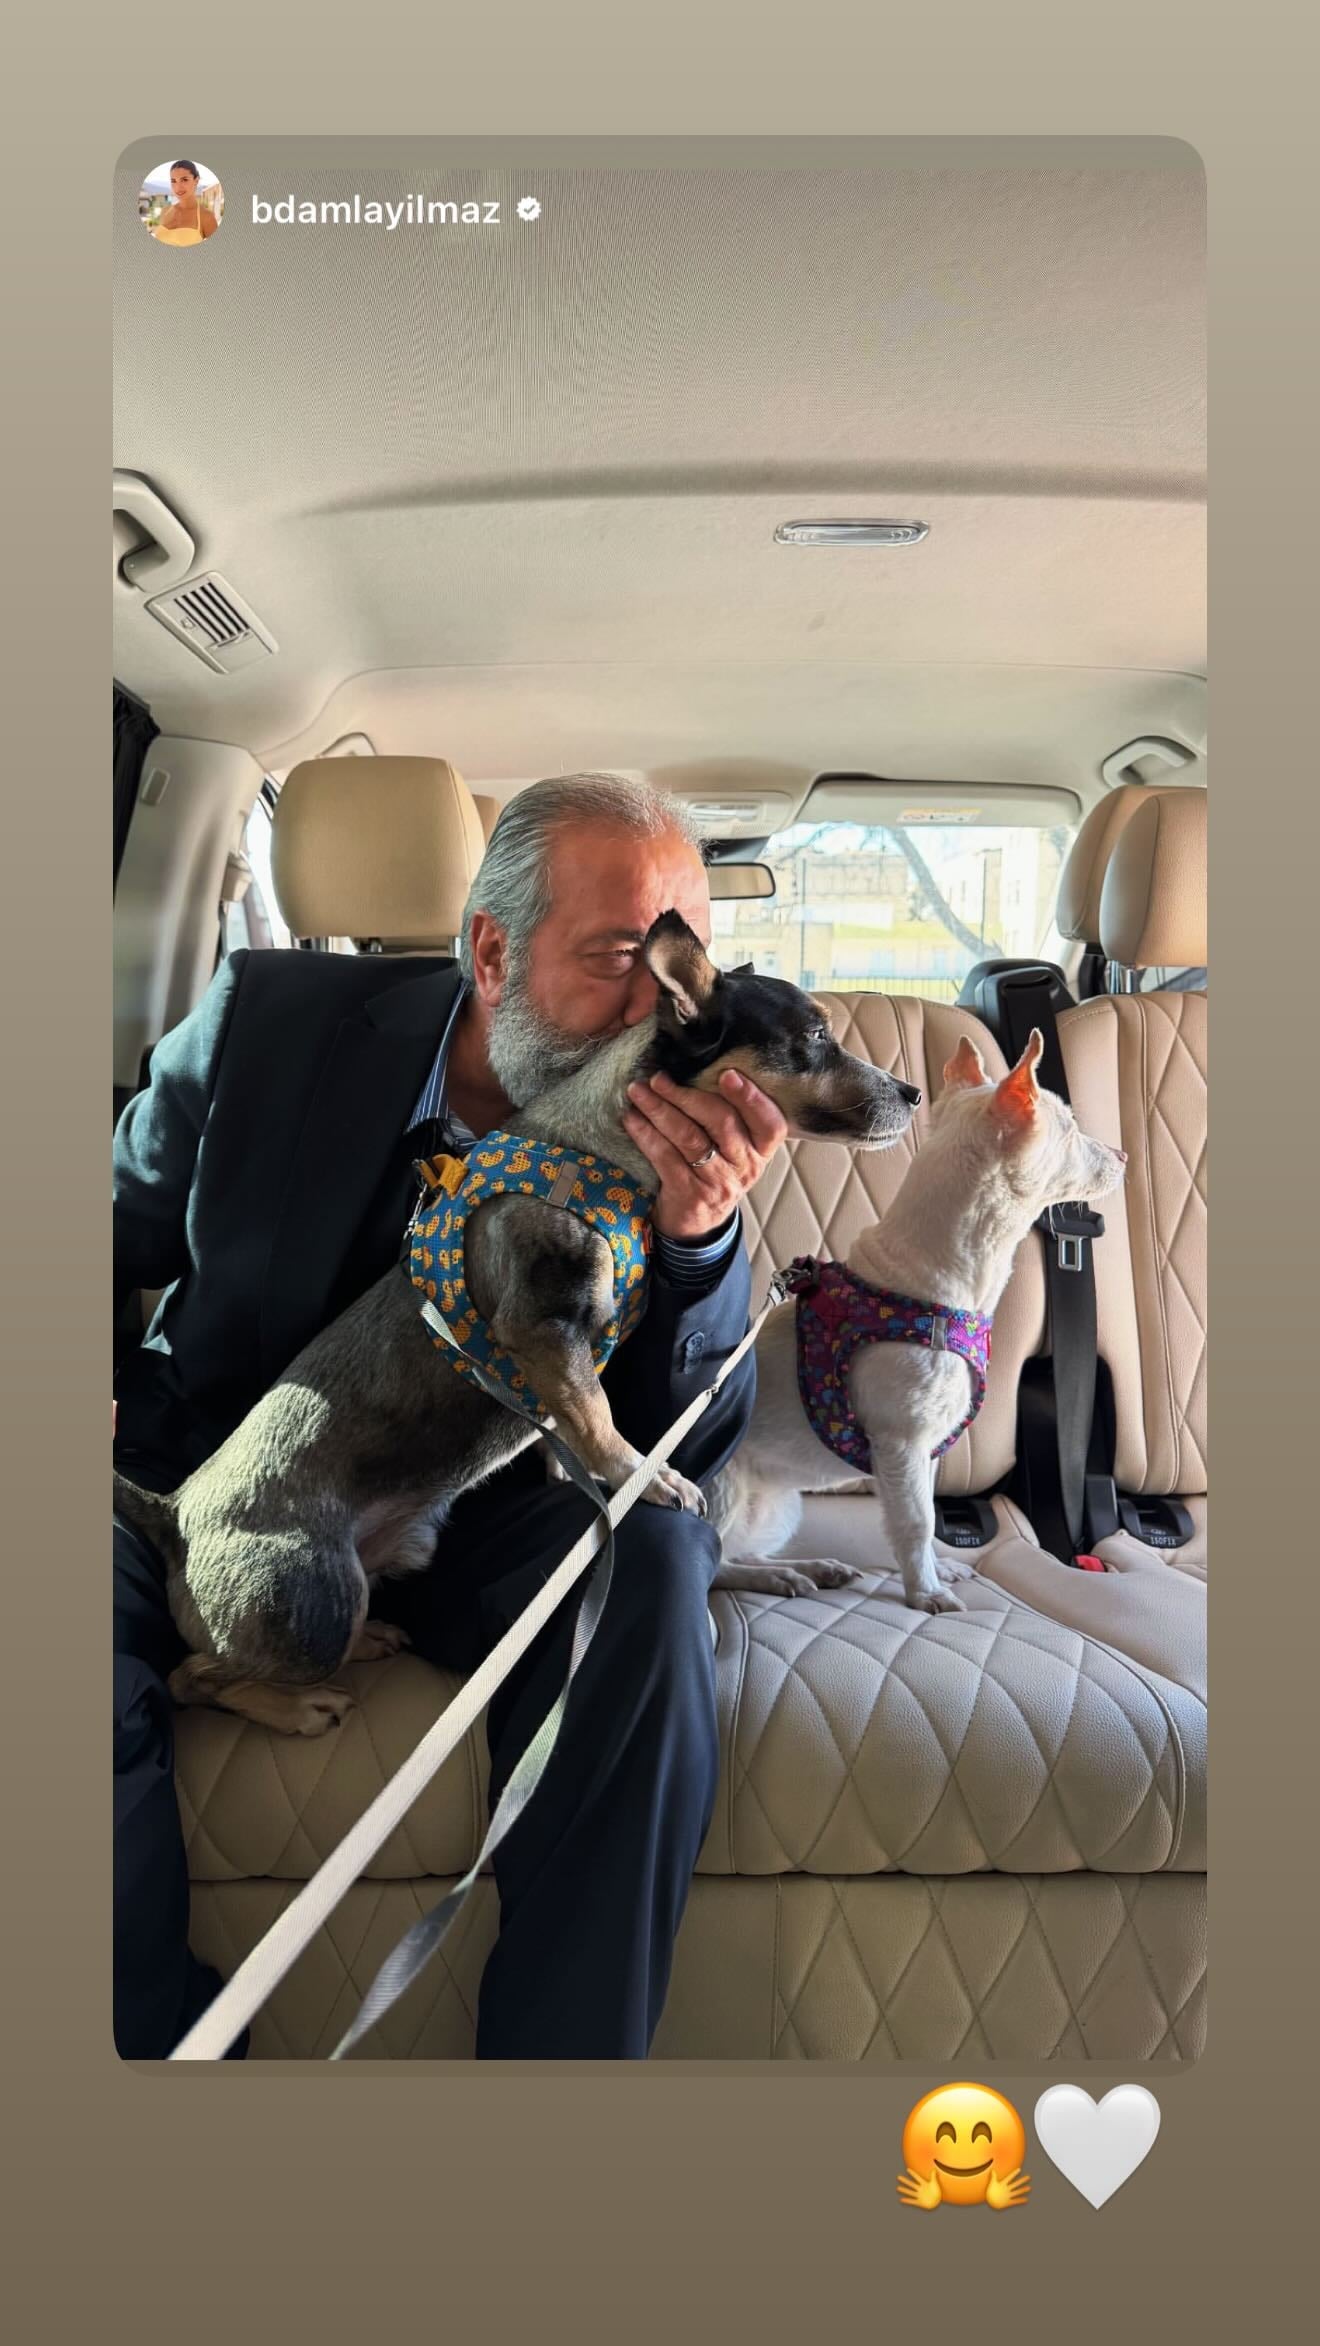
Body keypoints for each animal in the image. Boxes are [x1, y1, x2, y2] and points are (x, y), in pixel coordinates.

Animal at [705, 1028, 1127, 1614]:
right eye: (1069, 1128)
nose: (1124, 1155)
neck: (929, 1285)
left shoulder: (925, 1451)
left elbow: (926, 1520)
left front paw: (936, 1571)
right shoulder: (901, 1443)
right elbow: (916, 1522)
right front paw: (924, 1591)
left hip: (778, 1508)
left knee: (740, 1552)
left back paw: (806, 1567)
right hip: (721, 1488)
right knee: (713, 1562)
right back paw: (781, 1575)